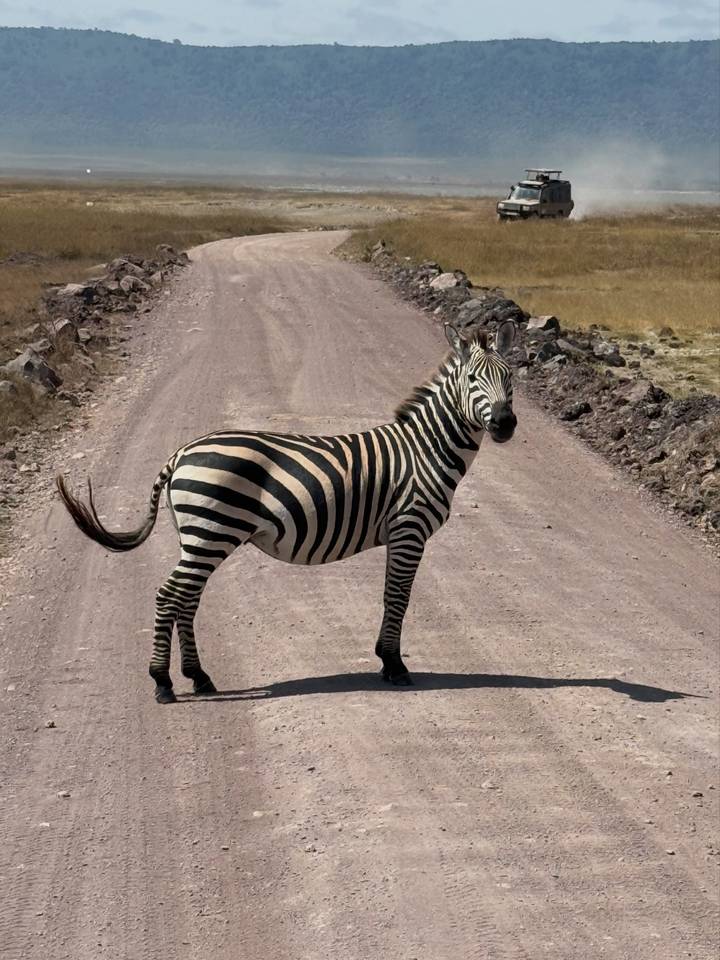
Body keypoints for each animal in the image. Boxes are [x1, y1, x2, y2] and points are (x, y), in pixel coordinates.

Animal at [56, 322, 517, 703]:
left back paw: (198, 677)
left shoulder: (401, 534)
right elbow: (398, 596)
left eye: (510, 378)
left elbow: (392, 595)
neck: (426, 449)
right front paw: (394, 664)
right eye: (473, 380)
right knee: (170, 595)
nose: (505, 424)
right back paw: (162, 682)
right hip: (211, 532)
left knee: (186, 598)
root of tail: (180, 454)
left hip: (201, 536)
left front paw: (386, 660)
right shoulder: (409, 528)